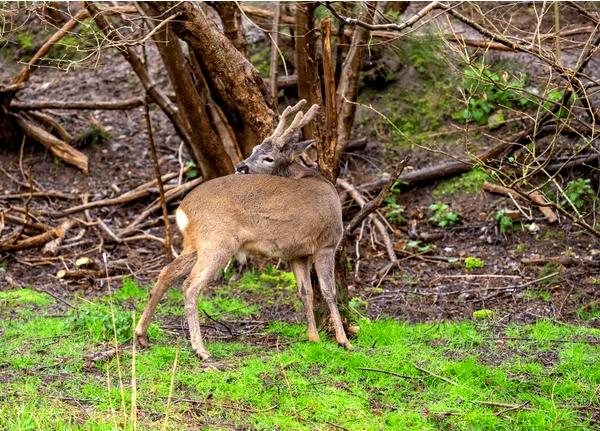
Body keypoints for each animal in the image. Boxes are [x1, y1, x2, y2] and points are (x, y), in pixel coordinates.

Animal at [135, 100, 352, 362]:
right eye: (255, 148)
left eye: (267, 156)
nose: (241, 166)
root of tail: (182, 210)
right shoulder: (327, 243)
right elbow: (329, 291)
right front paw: (344, 341)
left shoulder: (297, 253)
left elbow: (305, 292)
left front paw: (314, 337)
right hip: (218, 242)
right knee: (190, 285)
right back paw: (201, 350)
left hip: (195, 244)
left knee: (167, 272)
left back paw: (142, 335)